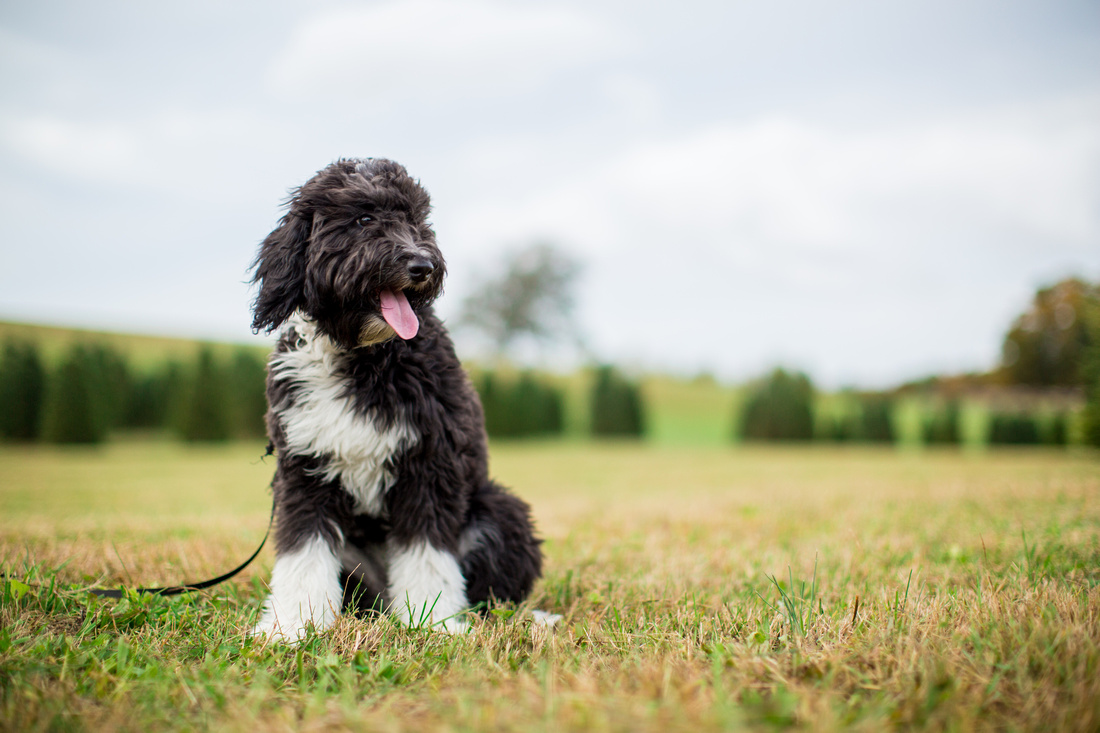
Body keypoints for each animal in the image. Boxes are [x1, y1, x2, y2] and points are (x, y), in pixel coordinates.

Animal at [247, 157, 543, 638]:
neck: (363, 355)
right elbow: (303, 552)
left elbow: (427, 555)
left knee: (494, 596)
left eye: (416, 221)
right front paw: (293, 624)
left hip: (500, 509)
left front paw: (432, 619)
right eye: (364, 219)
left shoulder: (430, 463)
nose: (422, 264)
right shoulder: (304, 469)